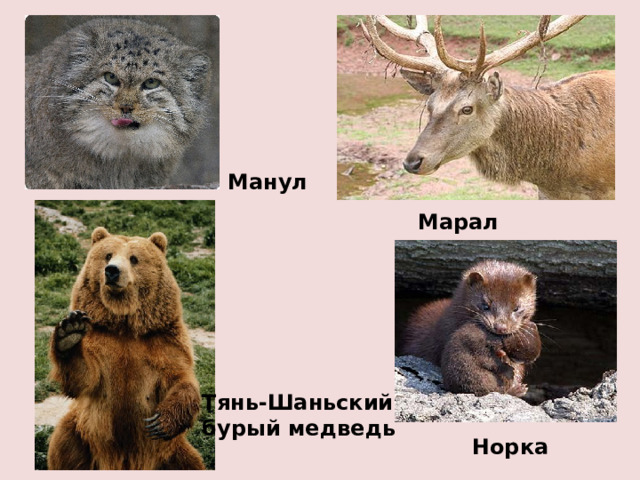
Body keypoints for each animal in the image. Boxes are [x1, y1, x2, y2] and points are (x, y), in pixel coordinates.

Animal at [47, 227, 205, 470]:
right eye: (108, 255)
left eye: (134, 258)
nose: (112, 271)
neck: (125, 326)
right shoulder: (100, 343)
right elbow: (83, 377)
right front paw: (70, 332)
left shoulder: (163, 342)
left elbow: (181, 379)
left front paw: (159, 422)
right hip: (81, 432)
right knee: (64, 447)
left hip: (172, 452)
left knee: (191, 463)